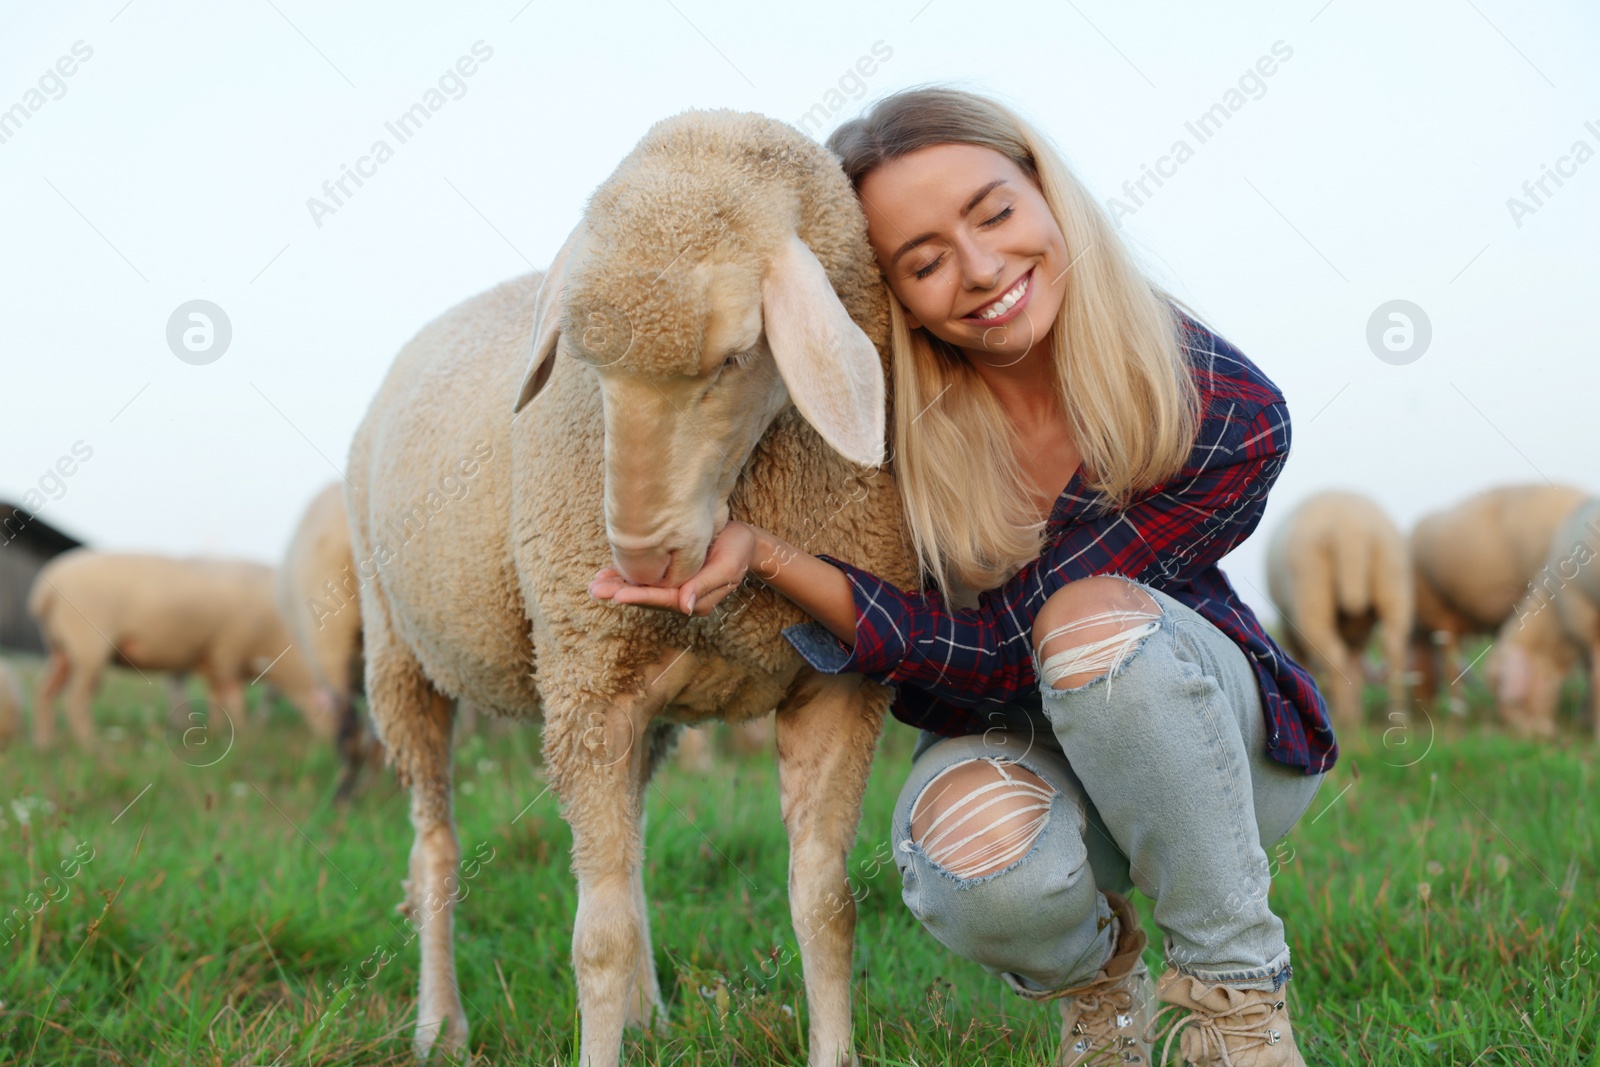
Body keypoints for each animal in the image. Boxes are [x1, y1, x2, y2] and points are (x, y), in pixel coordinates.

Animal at [27, 547, 328, 748]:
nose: (325, 743)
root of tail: (46, 590)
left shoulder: (211, 658)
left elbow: (217, 697)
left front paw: (219, 731)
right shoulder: (227, 651)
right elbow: (235, 698)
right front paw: (243, 734)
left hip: (61, 649)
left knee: (44, 692)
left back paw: (44, 743)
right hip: (88, 646)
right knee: (76, 699)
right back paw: (90, 744)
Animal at [352, 110, 921, 1067]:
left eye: (736, 357)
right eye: (583, 363)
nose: (639, 565)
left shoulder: (838, 685)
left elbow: (827, 904)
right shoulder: (586, 684)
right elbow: (599, 936)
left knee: (633, 845)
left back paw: (649, 1010)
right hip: (399, 653)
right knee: (435, 845)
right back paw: (440, 1022)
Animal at [1260, 489, 1414, 726]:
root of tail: (1349, 527)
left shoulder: (1288, 630)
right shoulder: (1361, 631)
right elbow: (1355, 664)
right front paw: (1356, 711)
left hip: (1309, 590)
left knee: (1334, 656)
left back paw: (1343, 720)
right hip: (1392, 578)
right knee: (1393, 646)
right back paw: (1396, 716)